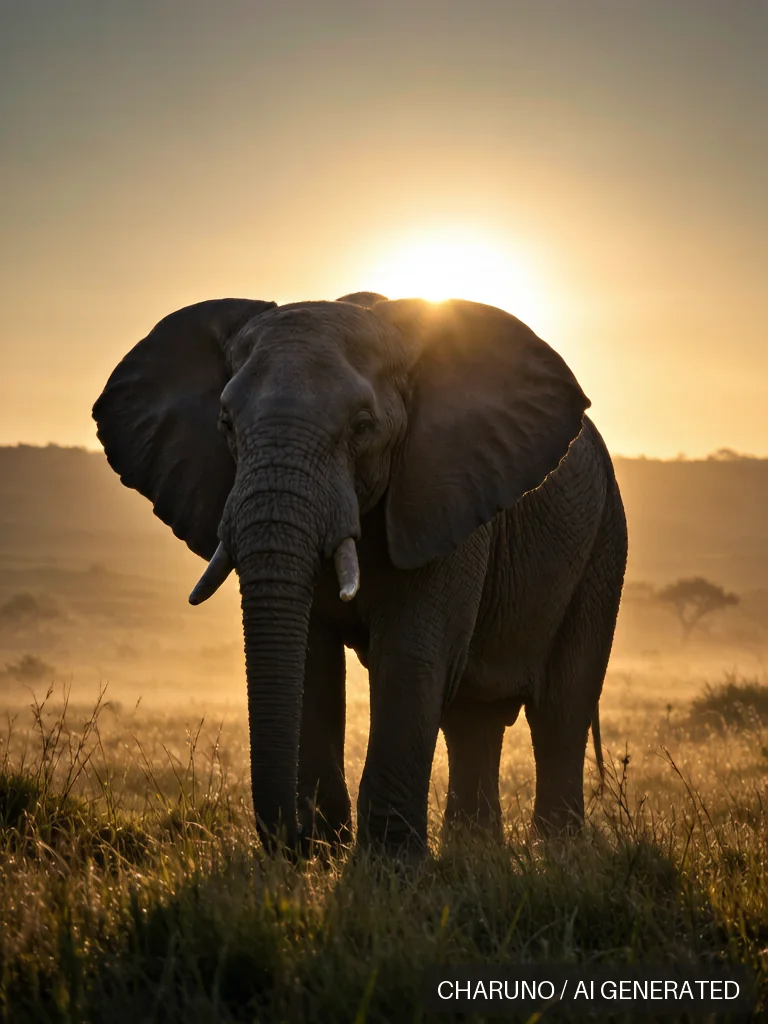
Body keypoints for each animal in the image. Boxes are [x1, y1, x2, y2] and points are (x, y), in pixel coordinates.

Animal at [93, 290, 627, 858]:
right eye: (226, 425)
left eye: (363, 426)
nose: (288, 842)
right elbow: (312, 655)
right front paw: (322, 853)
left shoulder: (441, 494)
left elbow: (412, 653)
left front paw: (384, 868)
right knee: (473, 719)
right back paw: (475, 858)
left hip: (602, 543)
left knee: (559, 709)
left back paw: (562, 856)